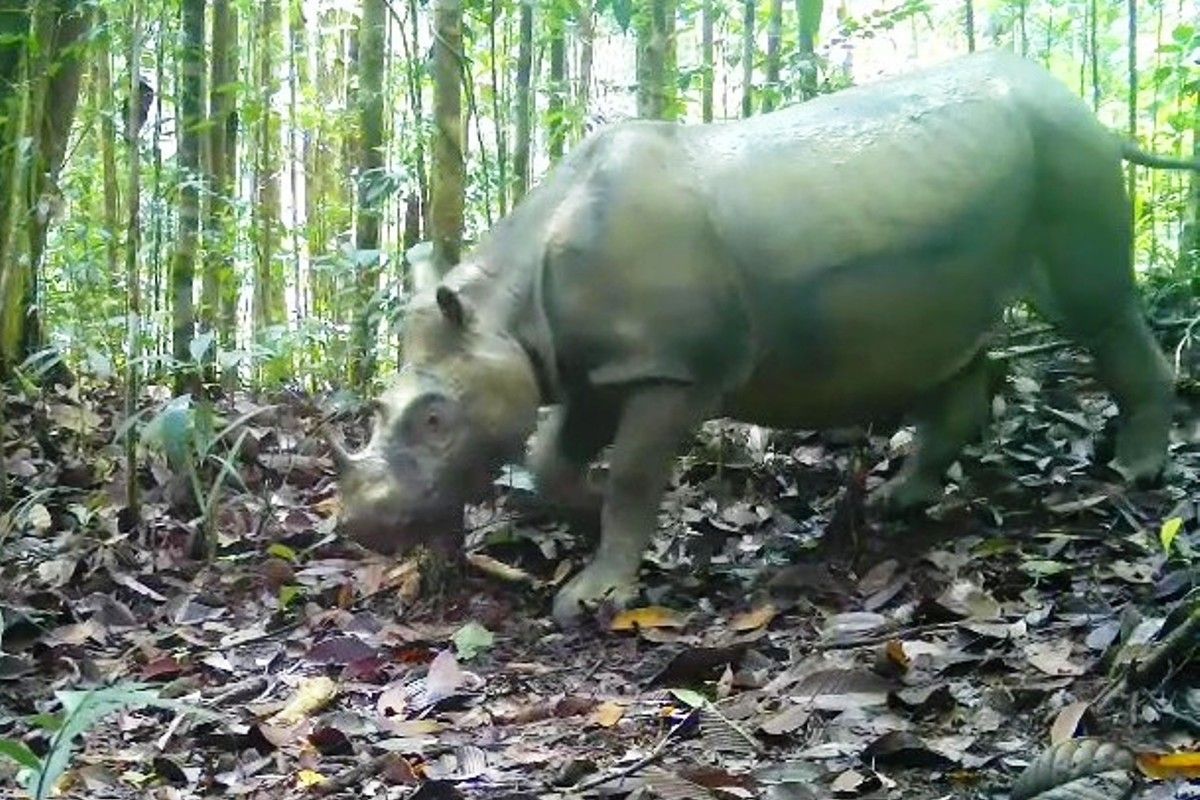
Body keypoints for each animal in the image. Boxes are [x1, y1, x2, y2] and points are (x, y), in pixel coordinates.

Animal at [332, 51, 1193, 625]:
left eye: (436, 420)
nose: (361, 524)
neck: (505, 307)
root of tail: (1093, 114)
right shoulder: (598, 363)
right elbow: (550, 456)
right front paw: (586, 509)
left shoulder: (670, 370)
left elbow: (637, 474)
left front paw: (595, 594)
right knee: (955, 348)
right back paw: (901, 501)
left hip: (1068, 154)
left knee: (1099, 309)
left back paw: (1135, 472)